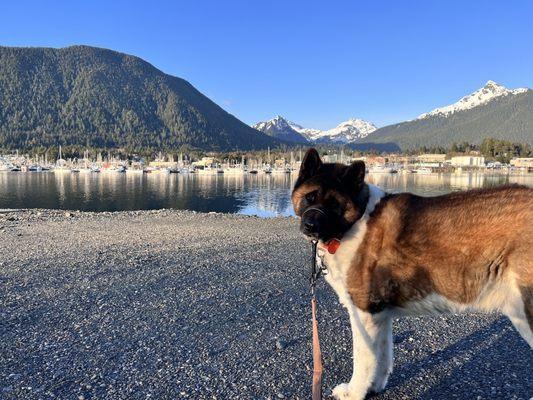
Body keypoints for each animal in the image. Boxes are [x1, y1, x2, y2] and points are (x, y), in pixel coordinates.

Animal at [290, 148, 532, 398]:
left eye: (335, 204)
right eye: (310, 197)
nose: (311, 226)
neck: (354, 223)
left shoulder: (364, 313)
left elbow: (364, 360)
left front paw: (354, 392)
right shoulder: (380, 315)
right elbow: (382, 357)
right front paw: (373, 388)